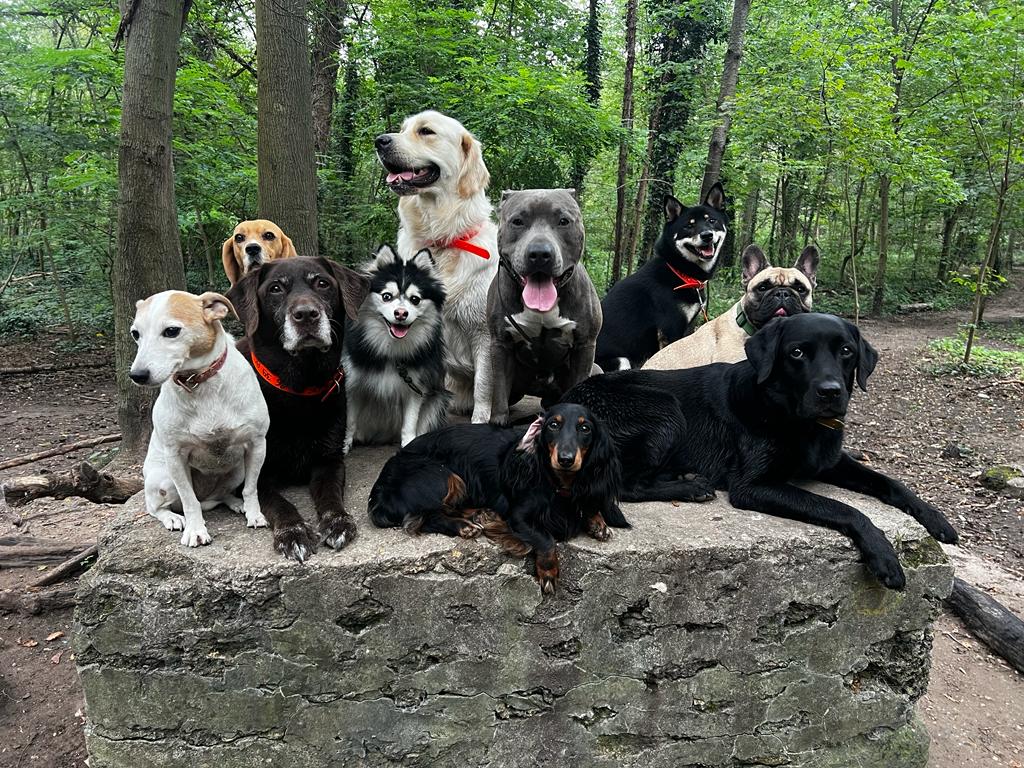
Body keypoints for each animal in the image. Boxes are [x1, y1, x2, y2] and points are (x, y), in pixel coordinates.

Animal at [130, 288, 270, 548]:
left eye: (171, 331)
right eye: (136, 333)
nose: (137, 375)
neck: (199, 383)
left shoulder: (257, 444)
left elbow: (250, 489)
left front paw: (254, 513)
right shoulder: (175, 457)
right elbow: (189, 500)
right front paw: (195, 531)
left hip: (237, 470)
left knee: (223, 494)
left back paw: (236, 503)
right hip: (164, 480)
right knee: (156, 508)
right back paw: (173, 518)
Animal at [344, 246, 448, 450]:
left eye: (415, 299)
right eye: (386, 296)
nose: (401, 313)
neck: (391, 347)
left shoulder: (416, 386)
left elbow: (410, 422)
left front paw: (409, 444)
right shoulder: (353, 384)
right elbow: (349, 420)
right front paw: (343, 445)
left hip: (437, 398)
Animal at [374, 110, 497, 423]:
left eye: (426, 131)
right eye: (403, 128)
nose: (379, 140)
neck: (441, 240)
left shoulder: (485, 334)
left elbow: (484, 386)